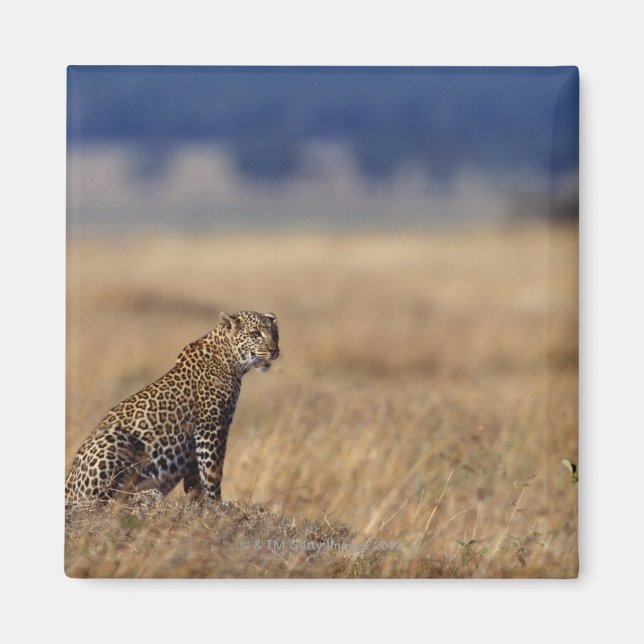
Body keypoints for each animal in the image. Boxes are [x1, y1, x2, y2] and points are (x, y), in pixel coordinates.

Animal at [65, 310, 279, 505]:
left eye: (275, 334)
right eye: (256, 334)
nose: (274, 350)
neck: (230, 360)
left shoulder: (195, 441)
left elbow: (196, 479)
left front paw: (198, 505)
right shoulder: (212, 427)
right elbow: (212, 472)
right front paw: (217, 505)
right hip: (113, 438)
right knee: (99, 500)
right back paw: (146, 494)